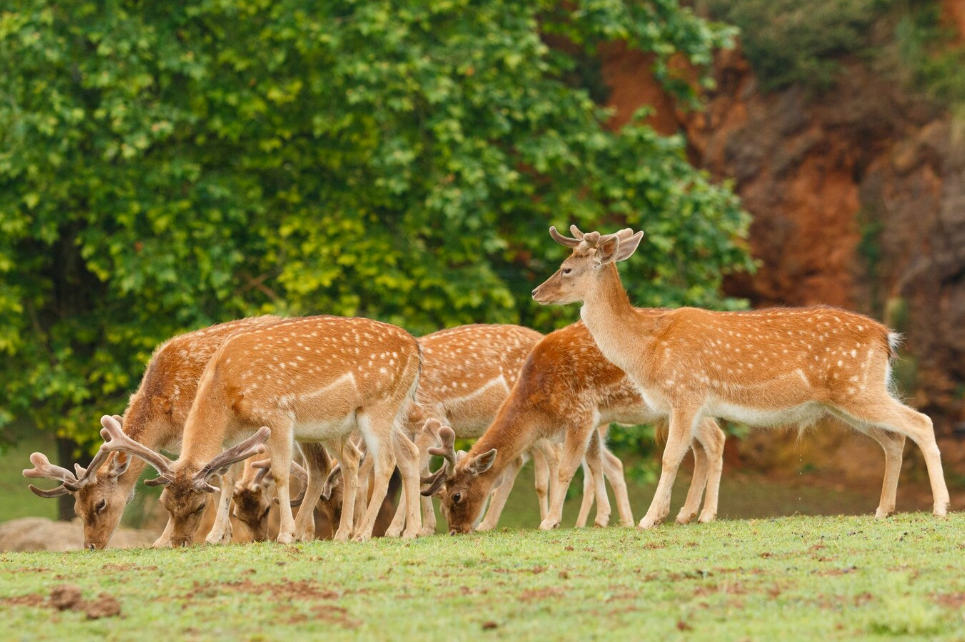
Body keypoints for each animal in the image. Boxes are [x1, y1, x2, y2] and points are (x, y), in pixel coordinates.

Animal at [22, 316, 284, 550]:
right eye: (77, 509)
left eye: (101, 503)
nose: (91, 546)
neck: (163, 418)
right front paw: (219, 536)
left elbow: (219, 479)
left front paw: (203, 537)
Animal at [89, 315, 424, 544]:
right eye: (166, 505)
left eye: (199, 507)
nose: (180, 542)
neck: (225, 389)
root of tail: (415, 347)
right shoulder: (236, 435)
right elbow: (228, 478)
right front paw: (216, 537)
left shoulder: (278, 416)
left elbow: (279, 474)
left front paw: (285, 534)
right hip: (367, 417)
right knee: (386, 456)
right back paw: (374, 533)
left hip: (377, 407)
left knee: (384, 463)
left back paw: (363, 533)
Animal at [421, 321, 726, 534]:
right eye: (441, 496)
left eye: (457, 496)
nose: (455, 531)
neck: (539, 405)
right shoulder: (594, 417)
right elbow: (593, 464)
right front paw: (602, 519)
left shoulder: (580, 414)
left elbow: (568, 469)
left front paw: (550, 522)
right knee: (699, 449)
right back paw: (684, 514)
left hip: (688, 398)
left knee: (716, 439)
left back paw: (706, 514)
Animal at [532, 225, 949, 529]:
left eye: (567, 268)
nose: (536, 291)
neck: (647, 348)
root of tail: (886, 337)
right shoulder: (692, 405)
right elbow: (695, 454)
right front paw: (682, 515)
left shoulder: (685, 393)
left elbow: (670, 457)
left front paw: (651, 519)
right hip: (847, 399)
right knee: (894, 438)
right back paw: (883, 509)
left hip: (857, 387)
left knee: (921, 422)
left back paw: (940, 506)